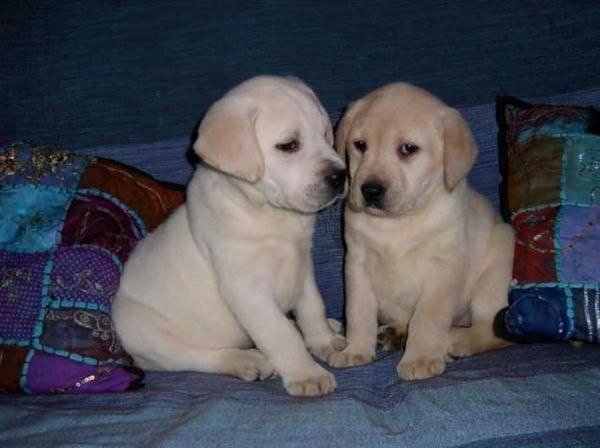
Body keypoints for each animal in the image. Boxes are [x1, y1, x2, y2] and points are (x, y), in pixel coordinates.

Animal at [112, 76, 346, 396]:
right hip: (145, 332)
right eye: (288, 145)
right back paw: (247, 361)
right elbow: (281, 333)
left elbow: (312, 308)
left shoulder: (303, 267)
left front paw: (324, 341)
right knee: (198, 357)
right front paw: (306, 373)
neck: (272, 214)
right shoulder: (248, 289)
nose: (341, 176)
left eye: (325, 134)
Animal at [328, 82, 516, 380]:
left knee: (495, 329)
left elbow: (427, 318)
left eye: (408, 149)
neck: (398, 222)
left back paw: (456, 340)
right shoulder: (357, 263)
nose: (370, 190)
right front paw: (355, 350)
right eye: (360, 145)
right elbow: (358, 312)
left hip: (497, 264)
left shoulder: (443, 270)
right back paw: (396, 333)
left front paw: (421, 358)